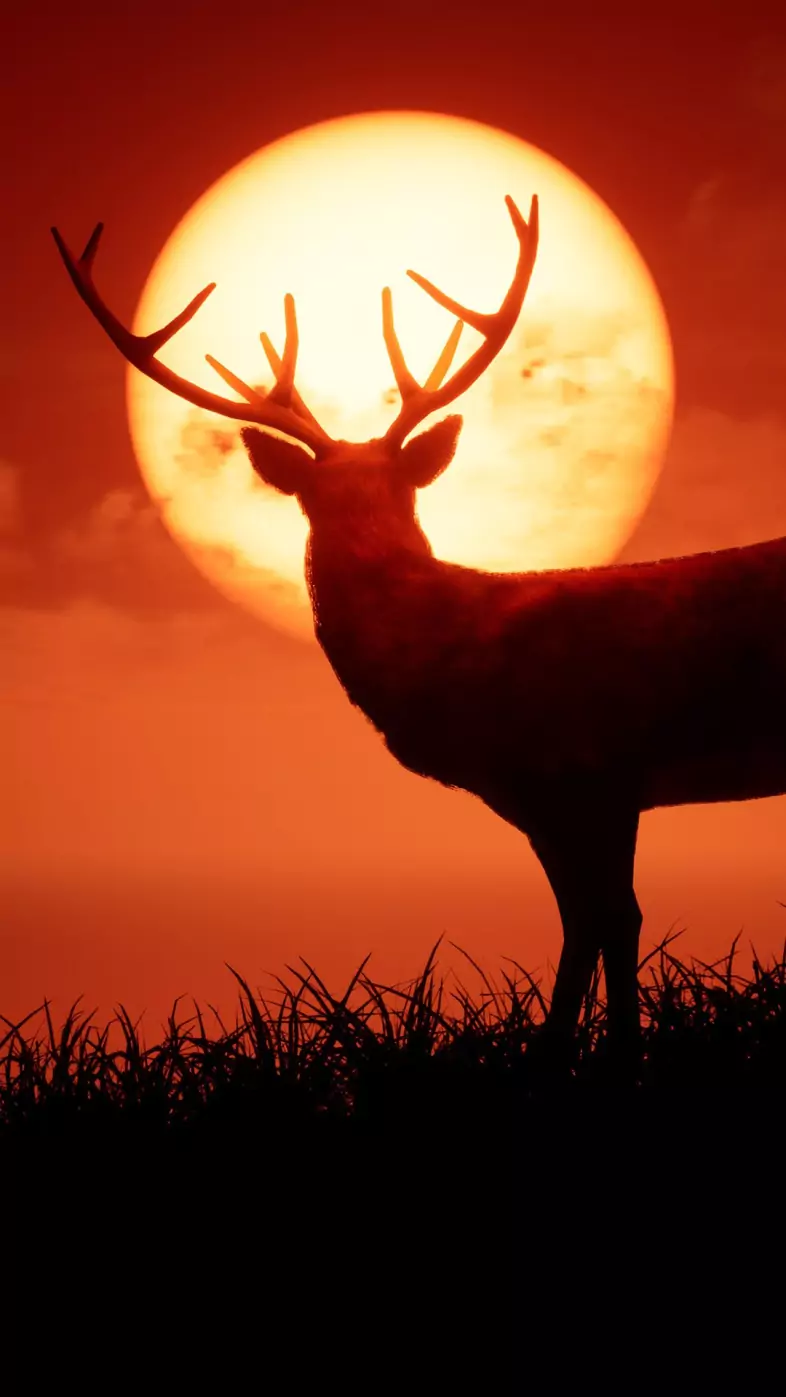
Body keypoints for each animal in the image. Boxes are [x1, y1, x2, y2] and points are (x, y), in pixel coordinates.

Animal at [52, 195, 786, 1079]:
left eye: (396, 488)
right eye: (319, 496)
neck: (456, 654)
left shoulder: (592, 766)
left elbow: (606, 918)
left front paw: (580, 1058)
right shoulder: (552, 793)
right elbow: (602, 918)